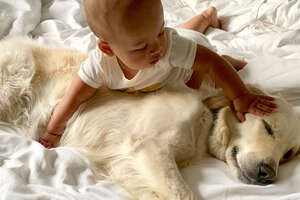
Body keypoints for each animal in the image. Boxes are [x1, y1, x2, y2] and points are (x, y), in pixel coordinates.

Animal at [0, 38, 300, 200]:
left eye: (288, 154)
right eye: (268, 128)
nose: (267, 174)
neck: (205, 122)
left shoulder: (127, 163)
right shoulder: (149, 147)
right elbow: (183, 194)